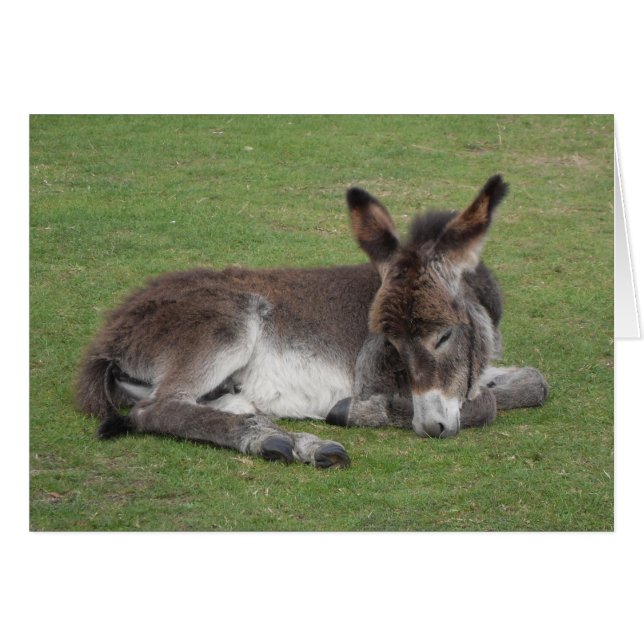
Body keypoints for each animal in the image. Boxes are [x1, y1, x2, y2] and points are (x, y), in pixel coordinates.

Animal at [76, 174, 548, 468]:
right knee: (156, 408)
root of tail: (110, 335)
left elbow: (536, 381)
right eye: (391, 343)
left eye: (445, 335)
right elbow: (486, 405)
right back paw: (282, 442)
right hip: (226, 326)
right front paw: (354, 411)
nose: (429, 427)